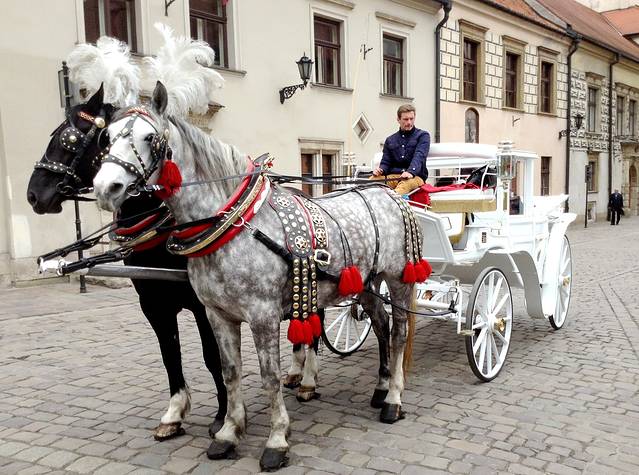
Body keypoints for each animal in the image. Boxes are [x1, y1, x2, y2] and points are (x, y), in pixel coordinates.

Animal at [26, 85, 227, 441]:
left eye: (67, 139)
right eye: (106, 138)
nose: (34, 193)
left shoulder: (204, 305)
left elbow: (213, 356)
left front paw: (222, 416)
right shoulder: (153, 303)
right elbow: (169, 354)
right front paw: (174, 413)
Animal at [91, 81, 419, 471]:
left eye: (149, 138)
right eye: (106, 136)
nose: (105, 187)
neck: (231, 224)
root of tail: (387, 191)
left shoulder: (262, 315)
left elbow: (269, 376)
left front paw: (277, 439)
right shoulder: (217, 314)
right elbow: (229, 370)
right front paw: (228, 433)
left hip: (398, 278)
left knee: (398, 333)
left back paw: (394, 399)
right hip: (366, 282)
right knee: (381, 324)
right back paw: (381, 388)